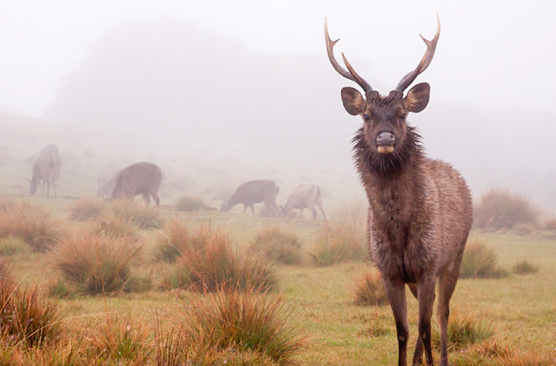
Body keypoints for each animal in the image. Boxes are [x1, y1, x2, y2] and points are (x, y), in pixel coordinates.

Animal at [326, 15, 474, 364]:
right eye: (367, 115)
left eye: (402, 114)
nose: (385, 138)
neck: (398, 229)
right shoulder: (388, 271)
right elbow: (403, 330)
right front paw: (408, 360)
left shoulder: (429, 263)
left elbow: (425, 327)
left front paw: (432, 361)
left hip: (456, 256)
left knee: (443, 312)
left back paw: (442, 358)